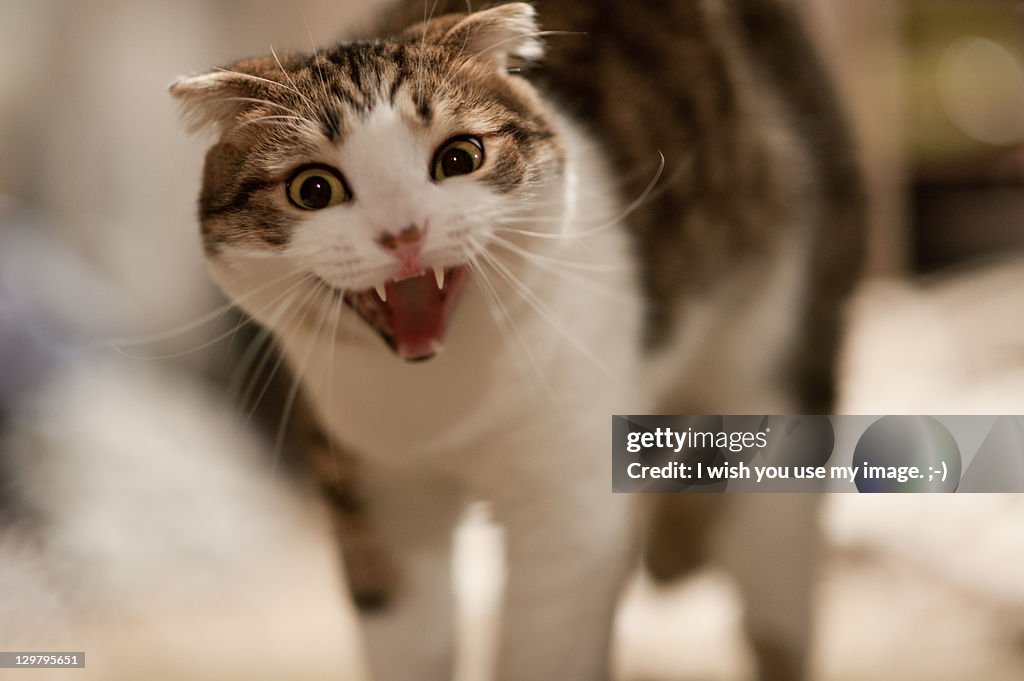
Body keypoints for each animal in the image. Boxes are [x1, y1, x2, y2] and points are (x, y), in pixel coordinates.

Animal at [169, 1, 864, 675]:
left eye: (460, 158)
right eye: (314, 189)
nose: (403, 233)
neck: (441, 400)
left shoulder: (570, 508)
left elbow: (546, 642)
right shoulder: (378, 497)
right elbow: (412, 641)